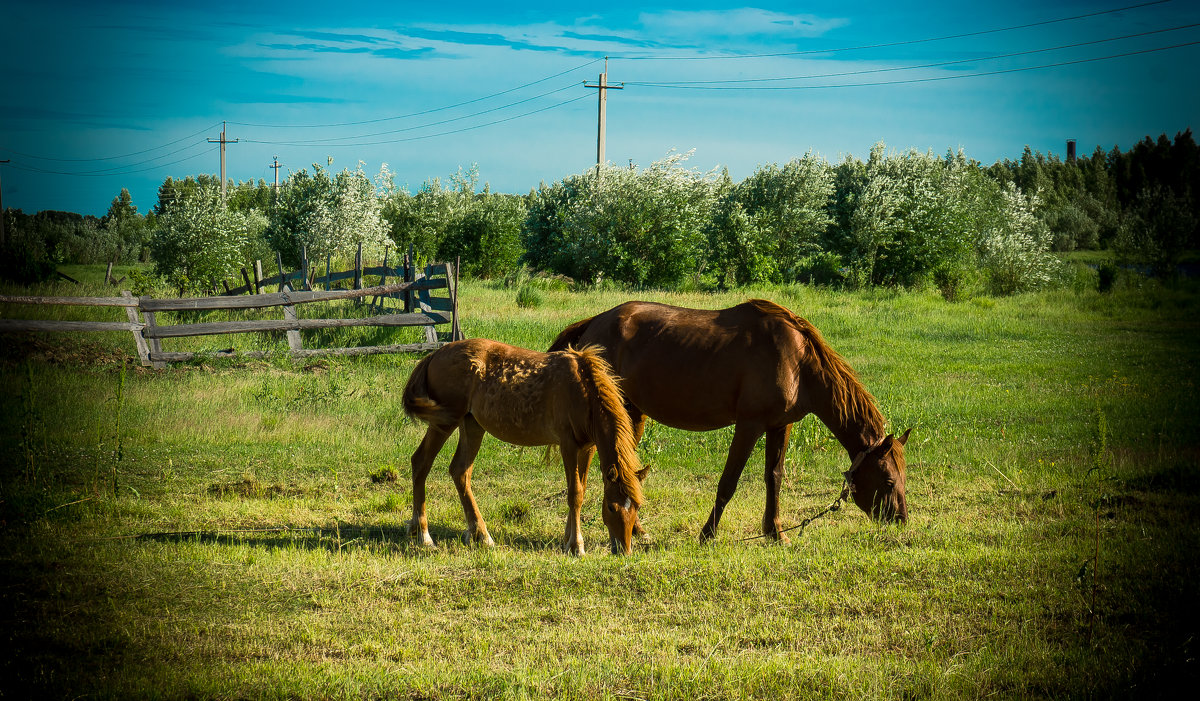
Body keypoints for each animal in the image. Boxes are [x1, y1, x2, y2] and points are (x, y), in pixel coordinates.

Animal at [400, 336, 648, 556]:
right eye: (611, 507)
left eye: (637, 507)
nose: (624, 550)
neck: (582, 390)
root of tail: (434, 354)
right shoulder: (568, 445)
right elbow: (575, 494)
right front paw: (576, 545)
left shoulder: (587, 447)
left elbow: (582, 489)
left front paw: (566, 539)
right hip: (444, 422)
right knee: (421, 462)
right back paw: (424, 535)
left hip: (472, 425)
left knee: (460, 472)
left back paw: (481, 535)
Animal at [549, 297, 907, 542]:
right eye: (889, 481)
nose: (901, 519)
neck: (798, 361)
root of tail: (594, 322)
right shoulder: (749, 426)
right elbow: (728, 482)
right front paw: (708, 533)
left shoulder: (780, 426)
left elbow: (774, 477)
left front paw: (775, 532)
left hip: (632, 415)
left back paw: (636, 529)